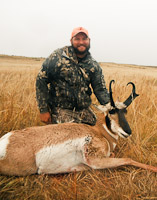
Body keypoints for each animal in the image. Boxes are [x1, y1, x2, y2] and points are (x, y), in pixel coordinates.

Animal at [0, 79, 157, 175]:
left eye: (125, 111)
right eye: (111, 111)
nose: (128, 131)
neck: (99, 132)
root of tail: (6, 140)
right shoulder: (94, 160)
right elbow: (128, 159)